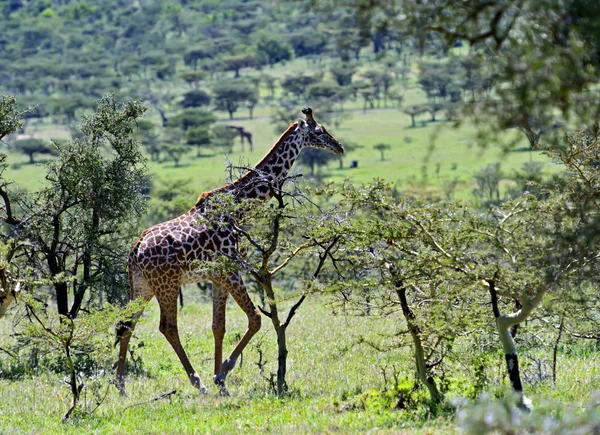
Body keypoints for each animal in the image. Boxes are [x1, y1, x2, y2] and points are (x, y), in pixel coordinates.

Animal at [116, 108, 342, 396]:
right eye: (319, 131)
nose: (339, 147)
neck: (239, 208)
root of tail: (135, 251)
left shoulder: (217, 276)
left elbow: (218, 326)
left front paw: (221, 383)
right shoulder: (231, 271)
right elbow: (255, 319)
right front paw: (222, 373)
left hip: (141, 285)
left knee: (127, 324)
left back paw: (121, 387)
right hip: (166, 283)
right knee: (167, 326)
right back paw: (197, 382)